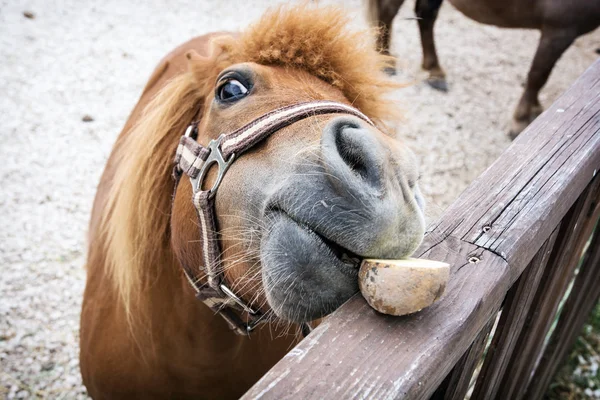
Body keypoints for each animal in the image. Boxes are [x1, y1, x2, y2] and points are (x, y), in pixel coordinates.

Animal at [368, 0, 600, 138]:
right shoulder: (559, 29)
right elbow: (538, 75)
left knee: (425, 15)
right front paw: (521, 119)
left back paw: (435, 71)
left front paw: (535, 109)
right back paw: (386, 60)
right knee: (388, 11)